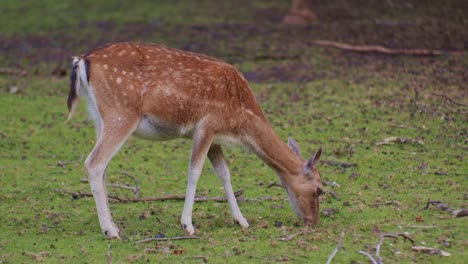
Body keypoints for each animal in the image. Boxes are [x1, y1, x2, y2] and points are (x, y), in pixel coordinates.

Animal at [66, 42, 322, 238]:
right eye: (320, 189)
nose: (313, 222)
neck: (240, 122)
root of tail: (82, 60)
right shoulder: (205, 126)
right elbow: (195, 171)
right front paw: (187, 225)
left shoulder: (216, 135)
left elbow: (224, 173)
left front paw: (241, 220)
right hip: (121, 115)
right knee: (94, 163)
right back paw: (110, 230)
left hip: (99, 118)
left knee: (102, 166)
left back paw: (113, 225)